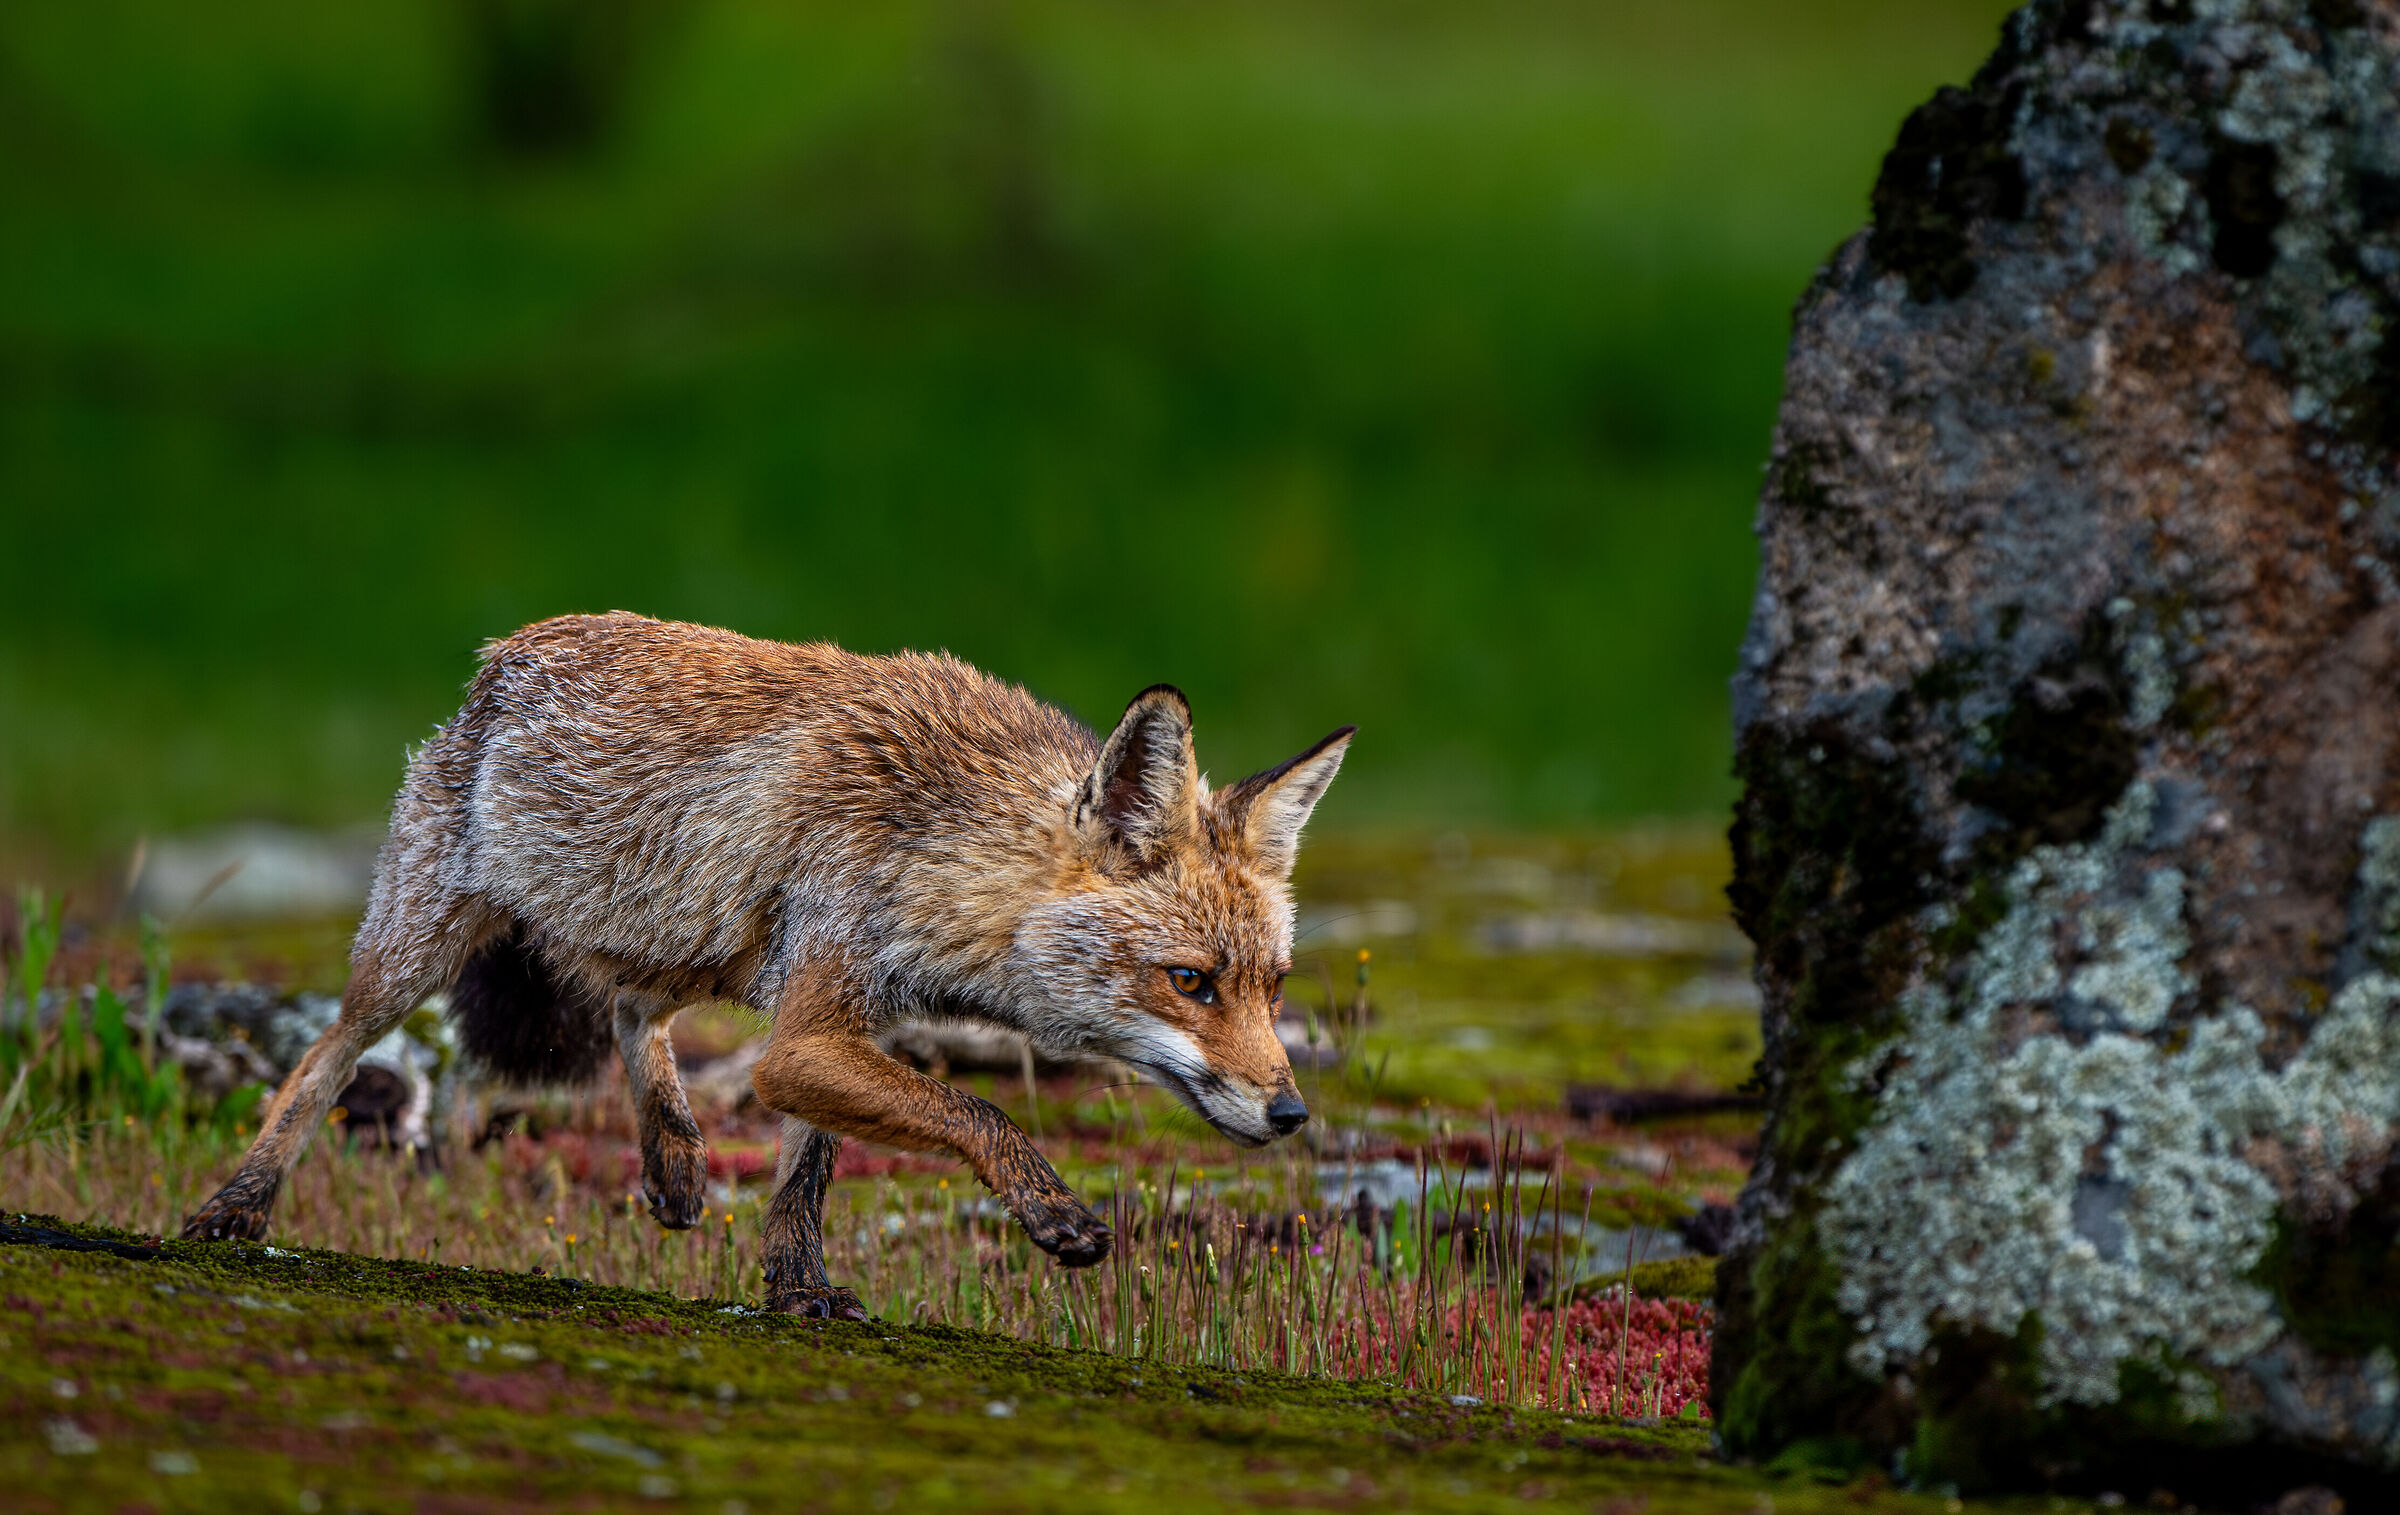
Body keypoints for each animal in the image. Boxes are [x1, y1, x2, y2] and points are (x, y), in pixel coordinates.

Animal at [183, 611, 1352, 1318]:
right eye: (1190, 981)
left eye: (1273, 986)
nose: (1292, 1114)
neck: (936, 845)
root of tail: (500, 654)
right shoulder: (813, 1023)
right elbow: (978, 1113)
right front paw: (1050, 1212)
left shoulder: (839, 1019)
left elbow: (805, 1173)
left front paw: (797, 1289)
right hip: (414, 952)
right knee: (326, 1056)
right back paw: (236, 1205)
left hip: (697, 941)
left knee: (629, 1015)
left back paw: (672, 1159)